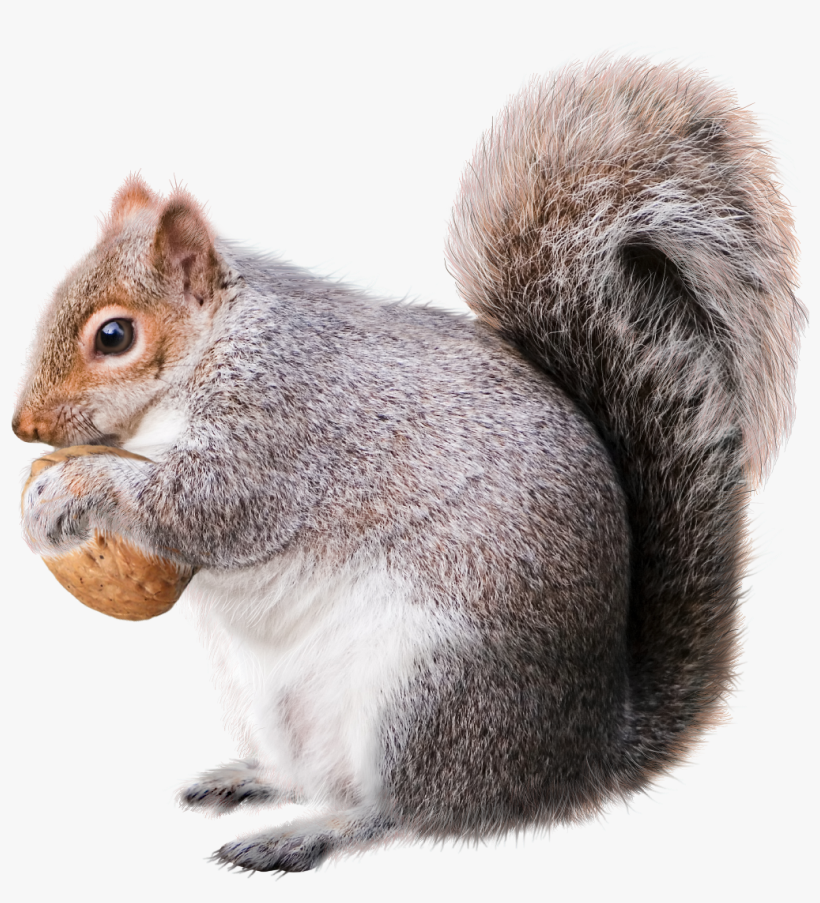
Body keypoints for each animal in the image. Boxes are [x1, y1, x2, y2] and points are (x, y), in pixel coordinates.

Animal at [12, 57, 805, 872]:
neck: (212, 350)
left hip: (430, 695)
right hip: (266, 697)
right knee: (313, 774)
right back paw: (253, 780)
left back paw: (309, 833)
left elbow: (210, 504)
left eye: (114, 335)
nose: (24, 426)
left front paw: (71, 490)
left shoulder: (282, 421)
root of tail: (581, 755)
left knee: (408, 810)